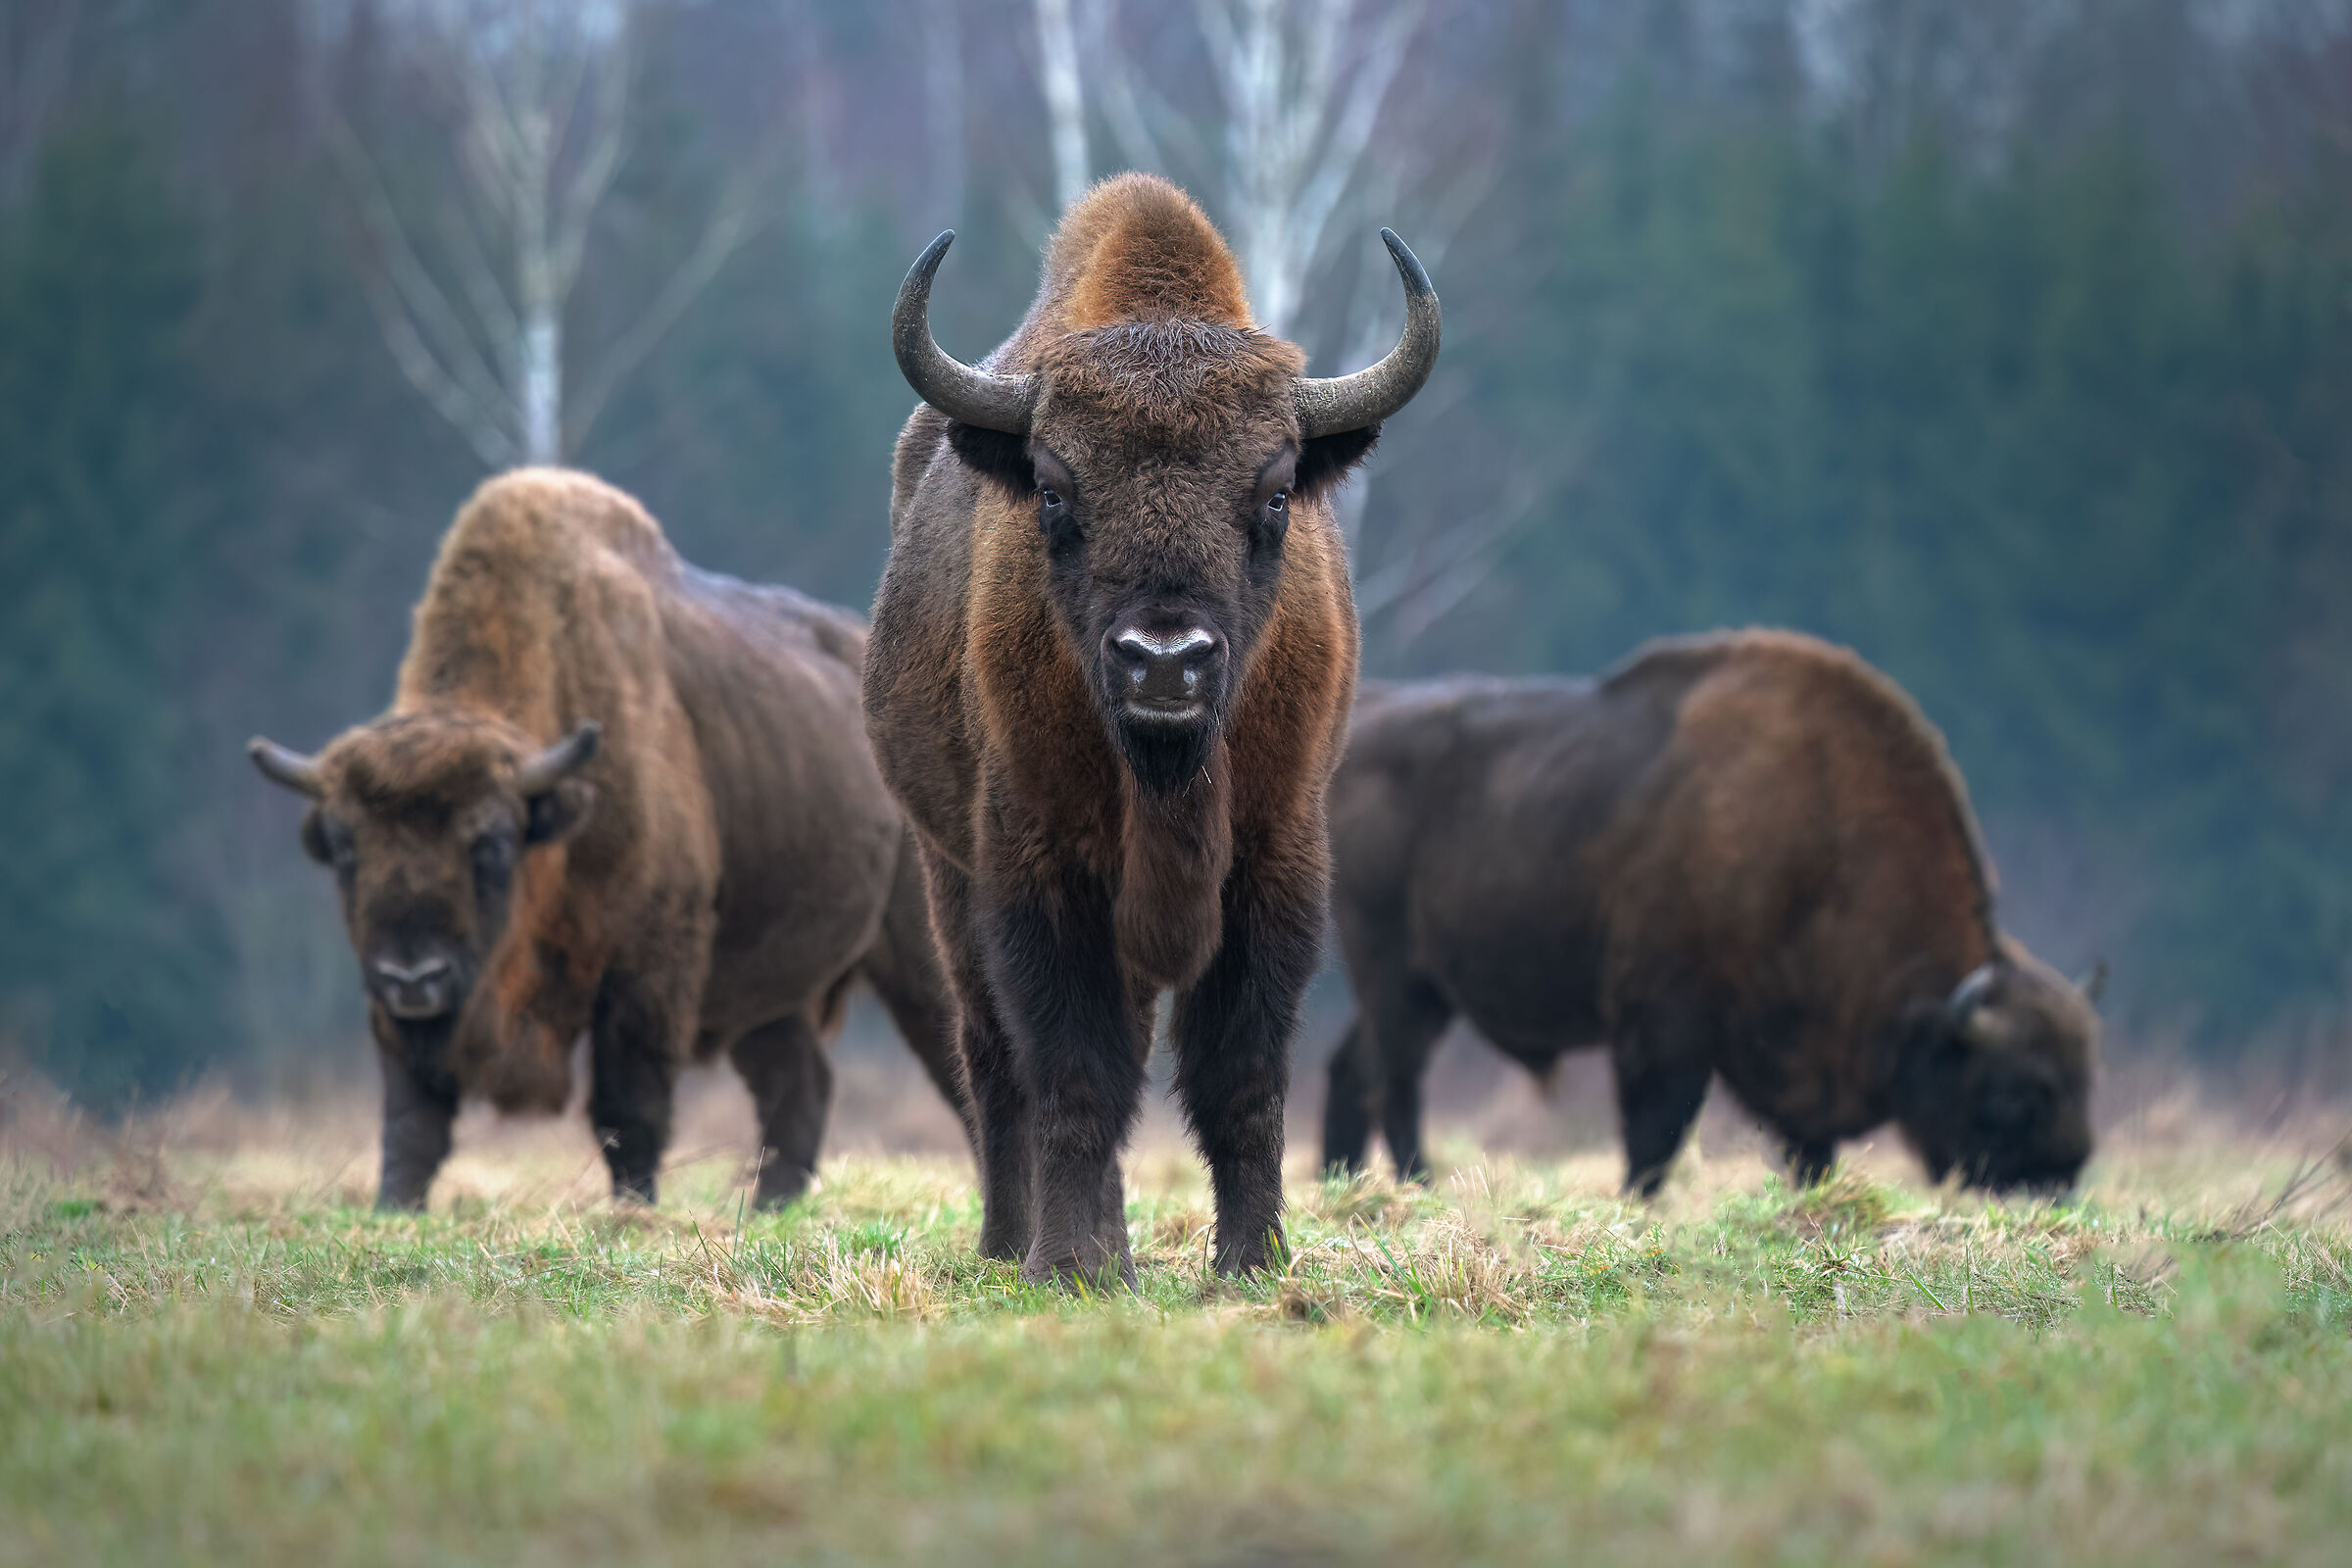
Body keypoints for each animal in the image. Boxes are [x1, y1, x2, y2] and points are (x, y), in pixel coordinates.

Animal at [250, 469, 968, 1210]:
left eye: (492, 842)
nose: (413, 977)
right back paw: (771, 1204)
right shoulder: (394, 1016)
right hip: (770, 983)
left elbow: (628, 1109)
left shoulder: (645, 971)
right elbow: (413, 1116)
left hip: (916, 953)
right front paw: (395, 1206)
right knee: (799, 1080)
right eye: (344, 848)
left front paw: (634, 1209)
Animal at [864, 174, 1439, 1281]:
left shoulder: (1275, 862)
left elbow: (1240, 1077)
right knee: (995, 1060)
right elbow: (1076, 1074)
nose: (1164, 660)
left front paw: (1253, 1259)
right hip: (946, 872)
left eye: (1275, 492)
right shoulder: (1038, 872)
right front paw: (1063, 1265)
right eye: (1052, 491)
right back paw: (1019, 1245)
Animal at [1321, 630, 2099, 1195]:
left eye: (2085, 1077)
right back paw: (1417, 1185)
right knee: (1396, 1079)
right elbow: (1656, 1132)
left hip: (1422, 989)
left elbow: (1807, 1149)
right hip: (1394, 974)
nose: (2056, 1183)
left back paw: (1344, 1182)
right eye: (2017, 1089)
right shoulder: (1664, 1025)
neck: (1819, 847)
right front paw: (1638, 1202)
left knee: (1353, 1066)